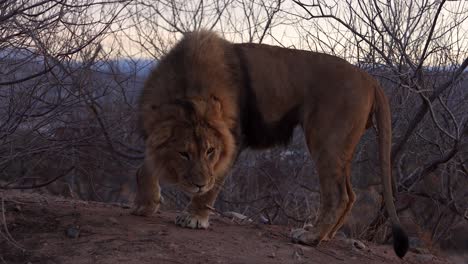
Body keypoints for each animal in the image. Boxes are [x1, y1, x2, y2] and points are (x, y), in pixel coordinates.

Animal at [132, 29, 410, 256]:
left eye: (210, 151)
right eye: (184, 154)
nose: (198, 184)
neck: (188, 89)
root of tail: (369, 79)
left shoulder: (234, 139)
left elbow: (214, 183)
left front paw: (194, 217)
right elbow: (144, 165)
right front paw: (146, 204)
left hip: (325, 140)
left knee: (338, 195)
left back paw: (311, 237)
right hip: (341, 148)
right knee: (351, 195)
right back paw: (326, 235)